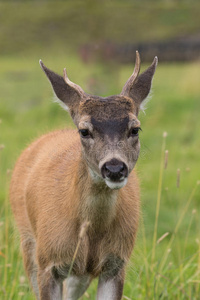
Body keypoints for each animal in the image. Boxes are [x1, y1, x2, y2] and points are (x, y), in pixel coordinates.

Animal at [10, 52, 158, 300]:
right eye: (84, 131)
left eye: (135, 129)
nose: (115, 168)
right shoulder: (47, 261)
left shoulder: (116, 264)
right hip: (28, 241)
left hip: (80, 272)